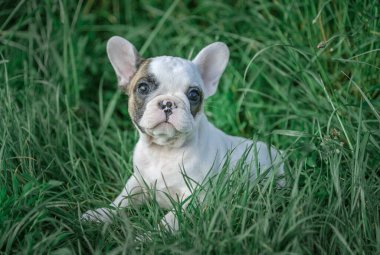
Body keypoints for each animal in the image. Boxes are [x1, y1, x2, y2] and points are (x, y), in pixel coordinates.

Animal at [83, 36, 284, 231]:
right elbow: (122, 200)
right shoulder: (138, 181)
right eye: (143, 88)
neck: (163, 150)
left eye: (194, 95)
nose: (168, 103)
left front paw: (152, 236)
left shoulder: (195, 196)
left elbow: (170, 219)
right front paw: (101, 214)